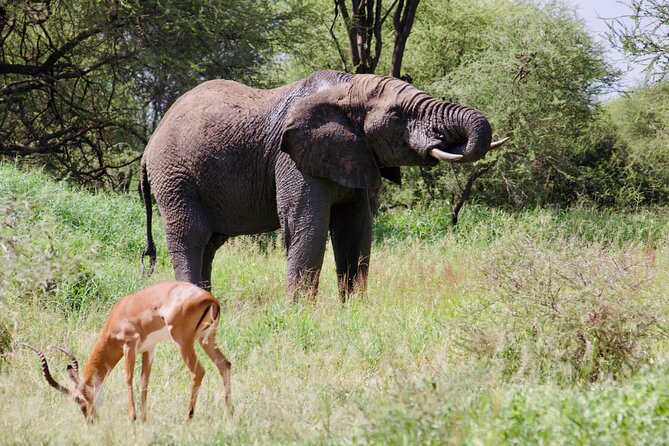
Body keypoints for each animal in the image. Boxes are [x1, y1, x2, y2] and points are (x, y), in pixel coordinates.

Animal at [139, 70, 507, 300]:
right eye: (396, 115)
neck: (345, 89)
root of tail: (151, 140)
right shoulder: (292, 158)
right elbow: (309, 226)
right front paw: (300, 315)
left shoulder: (355, 154)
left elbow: (355, 230)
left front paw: (354, 312)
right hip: (175, 177)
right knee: (191, 236)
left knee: (211, 243)